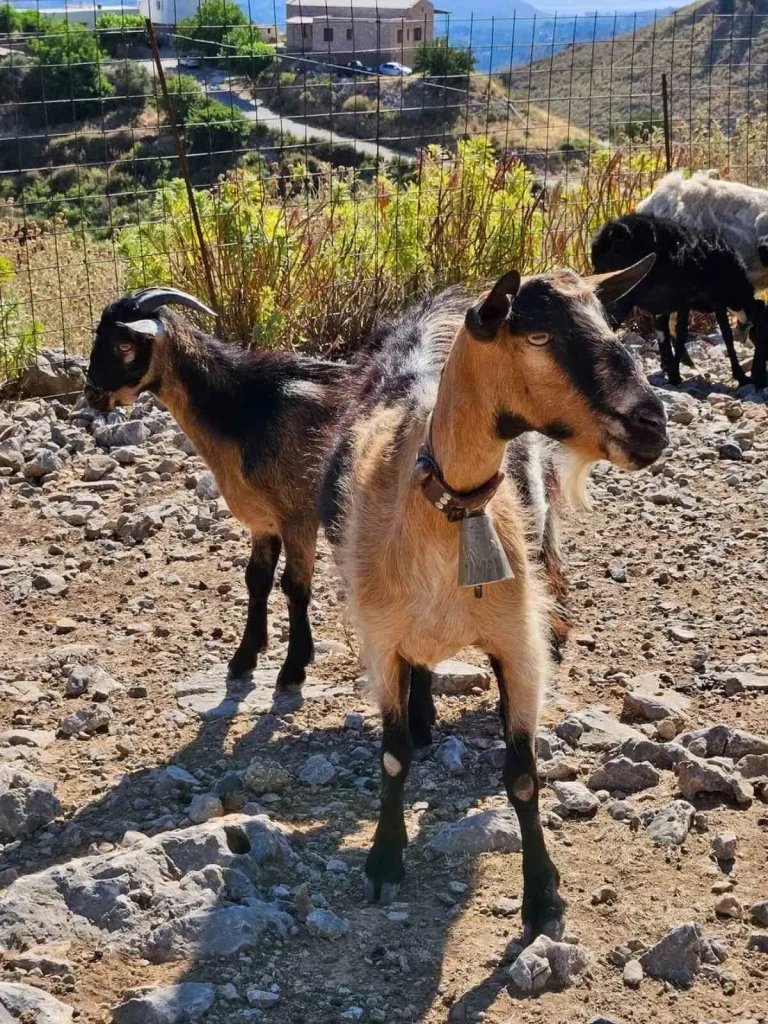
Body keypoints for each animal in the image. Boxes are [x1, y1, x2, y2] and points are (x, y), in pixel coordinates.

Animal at [84, 288, 348, 688]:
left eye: (125, 344)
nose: (92, 394)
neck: (248, 411)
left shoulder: (298, 517)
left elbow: (295, 586)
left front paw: (293, 668)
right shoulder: (262, 520)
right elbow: (256, 580)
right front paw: (244, 657)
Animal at [319, 266, 667, 942]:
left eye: (608, 321)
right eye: (536, 336)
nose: (653, 425)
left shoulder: (519, 644)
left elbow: (524, 776)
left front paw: (543, 897)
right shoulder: (380, 642)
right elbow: (393, 757)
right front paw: (384, 861)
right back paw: (424, 715)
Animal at [593, 215, 765, 387]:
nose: (760, 381)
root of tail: (610, 232)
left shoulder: (670, 304)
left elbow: (664, 332)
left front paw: (671, 370)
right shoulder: (705, 300)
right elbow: (718, 334)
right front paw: (741, 376)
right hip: (623, 292)